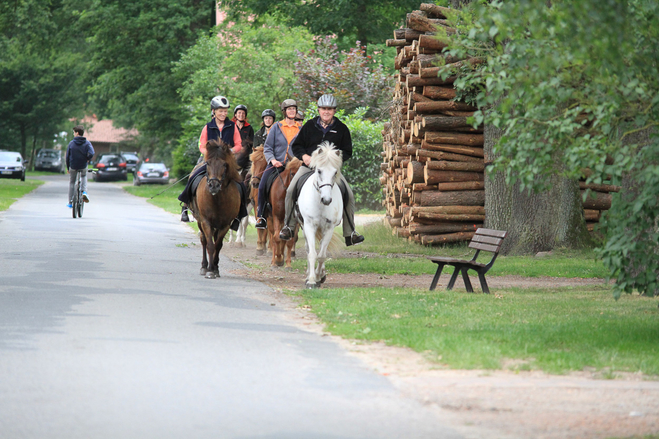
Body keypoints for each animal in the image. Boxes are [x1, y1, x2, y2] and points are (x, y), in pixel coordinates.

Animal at [188, 139, 242, 280]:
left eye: (224, 164)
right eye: (208, 163)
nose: (213, 185)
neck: (217, 199)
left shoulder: (225, 225)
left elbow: (218, 245)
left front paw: (215, 269)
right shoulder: (206, 222)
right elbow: (210, 245)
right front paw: (210, 270)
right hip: (200, 221)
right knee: (204, 240)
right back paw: (204, 266)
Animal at [296, 143, 342, 290]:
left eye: (335, 172)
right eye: (319, 171)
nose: (326, 200)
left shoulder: (329, 228)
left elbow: (321, 255)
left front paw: (318, 277)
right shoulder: (309, 226)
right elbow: (312, 253)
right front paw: (311, 280)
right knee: (308, 249)